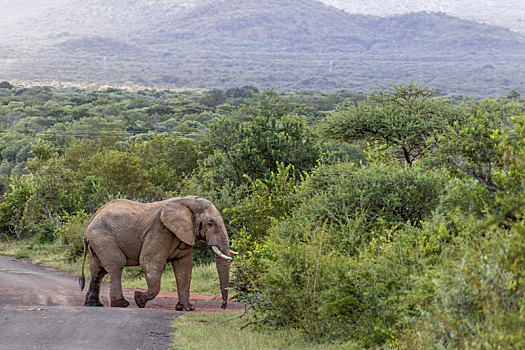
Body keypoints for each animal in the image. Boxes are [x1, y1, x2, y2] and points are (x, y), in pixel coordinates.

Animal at [79, 196, 235, 310]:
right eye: (210, 223)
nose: (222, 307)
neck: (187, 202)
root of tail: (89, 223)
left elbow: (184, 268)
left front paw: (186, 308)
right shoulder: (160, 230)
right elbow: (149, 262)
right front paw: (139, 300)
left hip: (98, 241)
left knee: (98, 270)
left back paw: (94, 305)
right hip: (103, 238)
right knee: (116, 265)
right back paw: (122, 304)